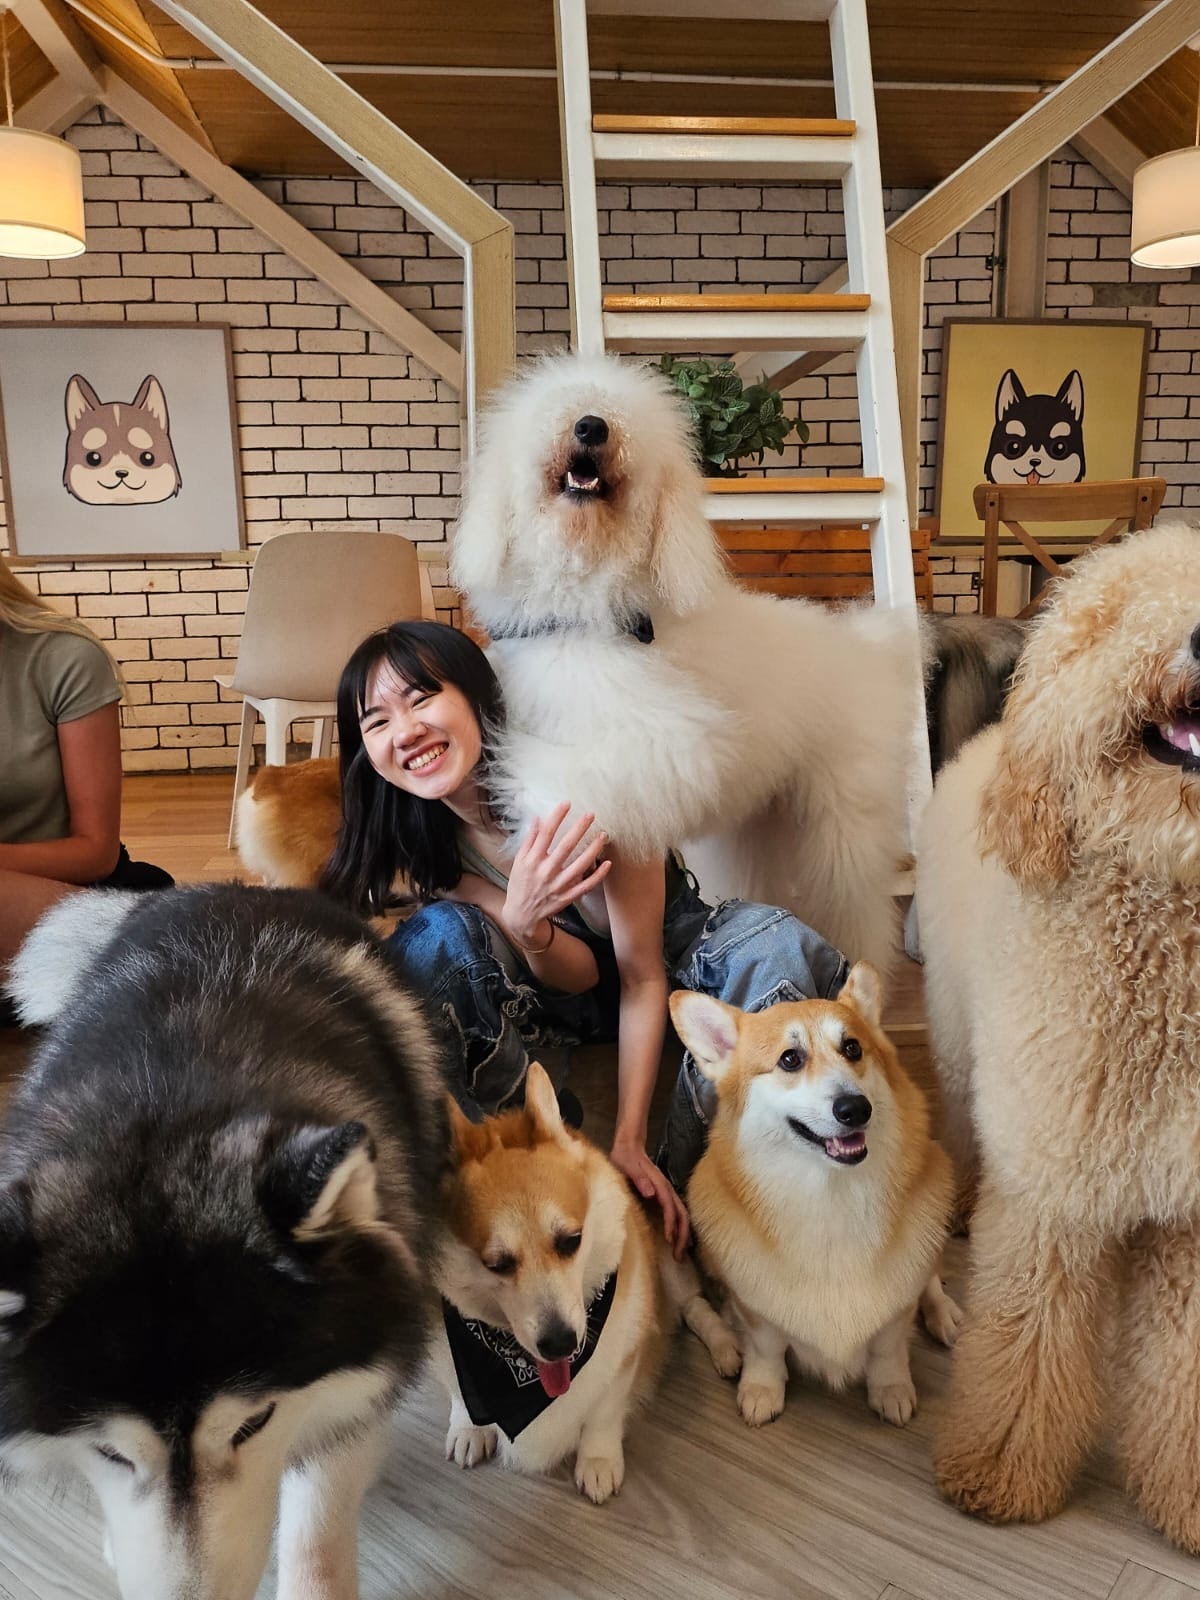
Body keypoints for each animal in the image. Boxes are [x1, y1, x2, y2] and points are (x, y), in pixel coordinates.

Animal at [1, 883, 445, 1600]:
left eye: (252, 1424)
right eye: (110, 1451)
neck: (168, 1101)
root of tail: (225, 889)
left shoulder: (350, 1388)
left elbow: (316, 1531)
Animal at [431, 1061, 738, 1503]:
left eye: (570, 1241)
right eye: (496, 1264)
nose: (560, 1344)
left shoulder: (623, 1357)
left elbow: (603, 1416)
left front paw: (598, 1461)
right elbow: (459, 1391)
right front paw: (469, 1428)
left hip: (668, 1259)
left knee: (694, 1307)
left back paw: (726, 1347)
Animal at [450, 353, 919, 975]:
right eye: (558, 406)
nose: (591, 426)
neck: (583, 606)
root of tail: (869, 645)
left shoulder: (667, 741)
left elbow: (564, 780)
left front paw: (532, 810)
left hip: (842, 821)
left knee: (860, 908)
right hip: (759, 825)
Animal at [669, 964, 960, 1429]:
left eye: (853, 1048)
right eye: (790, 1059)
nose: (856, 1109)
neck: (830, 1195)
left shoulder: (895, 1312)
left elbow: (888, 1350)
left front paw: (891, 1391)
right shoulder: (754, 1307)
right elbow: (766, 1349)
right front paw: (761, 1391)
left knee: (929, 1277)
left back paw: (944, 1313)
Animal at [915, 520, 1200, 1550]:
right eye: (1115, 613)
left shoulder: (1194, 1217)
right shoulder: (1053, 1190)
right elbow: (1029, 1341)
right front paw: (1000, 1471)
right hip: (963, 1045)